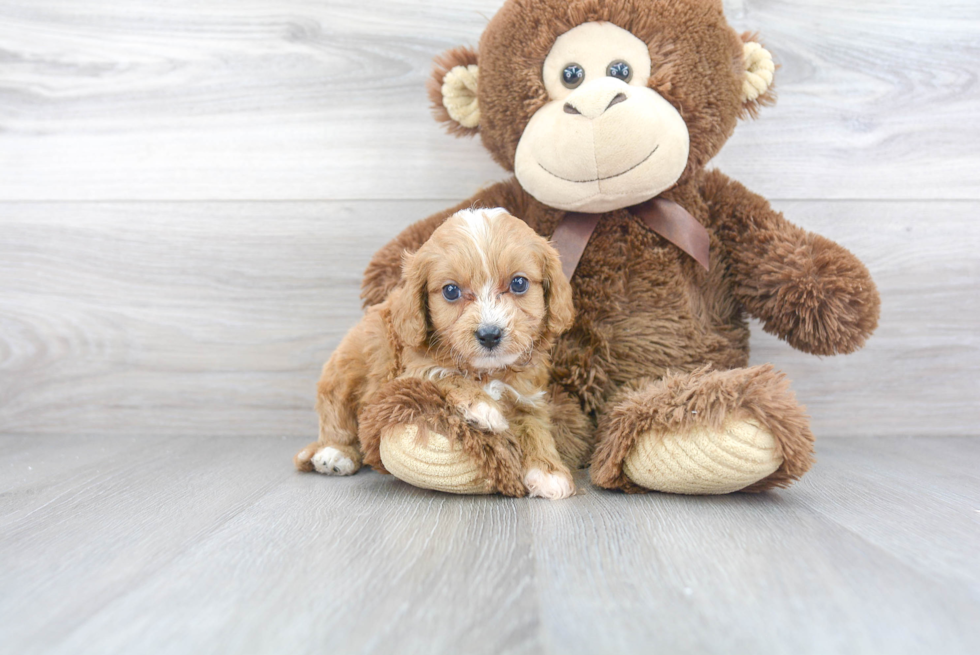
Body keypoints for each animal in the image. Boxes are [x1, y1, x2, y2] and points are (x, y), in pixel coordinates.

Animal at [294, 208, 580, 500]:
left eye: (519, 283)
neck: (485, 371)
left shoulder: (527, 396)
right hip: (343, 372)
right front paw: (483, 406)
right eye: (451, 291)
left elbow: (536, 427)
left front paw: (549, 471)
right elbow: (447, 375)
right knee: (337, 417)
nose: (489, 334)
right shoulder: (412, 370)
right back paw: (334, 454)